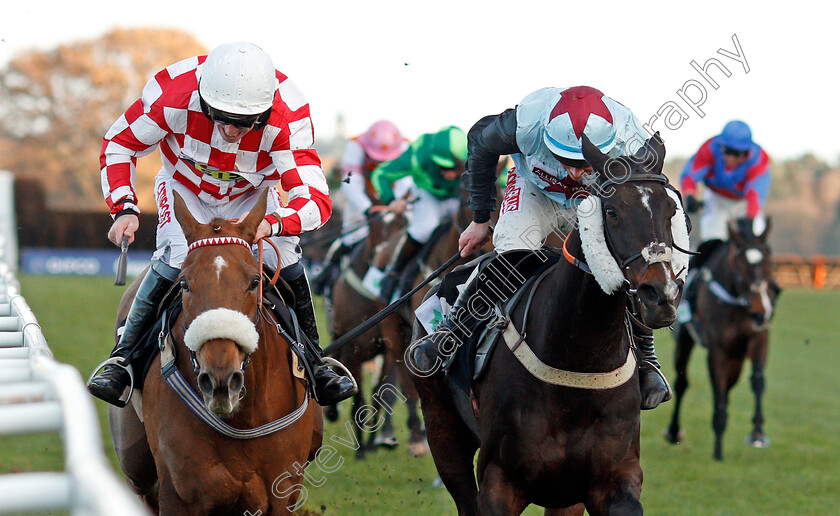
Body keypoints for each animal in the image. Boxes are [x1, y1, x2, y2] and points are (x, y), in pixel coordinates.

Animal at [107, 190, 322, 516]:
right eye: (184, 283)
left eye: (255, 282)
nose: (220, 379)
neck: (243, 419)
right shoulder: (179, 495)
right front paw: (125, 218)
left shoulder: (283, 494)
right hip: (137, 466)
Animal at [412, 134, 688, 516]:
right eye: (613, 212)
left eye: (671, 210)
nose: (661, 295)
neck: (579, 361)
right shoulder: (498, 480)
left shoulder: (613, 477)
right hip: (443, 429)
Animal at [668, 216, 776, 462]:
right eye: (741, 263)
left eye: (769, 261)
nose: (762, 311)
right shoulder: (717, 350)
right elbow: (717, 390)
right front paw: (718, 448)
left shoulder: (759, 339)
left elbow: (758, 381)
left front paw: (757, 433)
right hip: (686, 341)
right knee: (681, 382)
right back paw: (673, 431)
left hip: (737, 356)